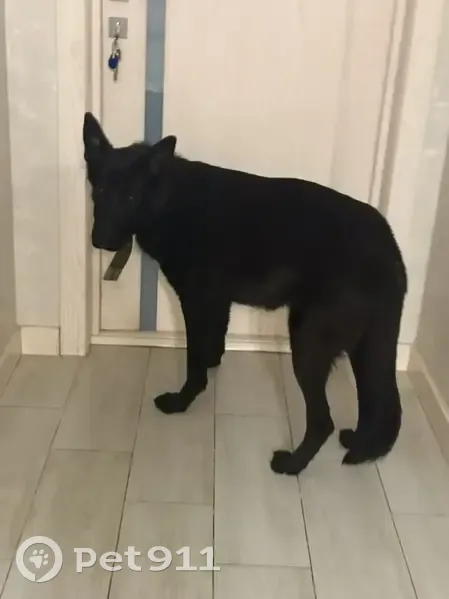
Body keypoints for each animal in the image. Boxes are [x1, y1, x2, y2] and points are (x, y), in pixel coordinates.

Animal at [83, 112, 407, 476]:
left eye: (129, 198)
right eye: (100, 190)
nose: (100, 241)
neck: (166, 198)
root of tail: (389, 249)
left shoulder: (196, 302)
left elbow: (193, 359)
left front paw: (183, 399)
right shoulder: (217, 302)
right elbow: (212, 344)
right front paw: (211, 366)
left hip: (308, 341)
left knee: (323, 421)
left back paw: (292, 464)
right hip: (365, 349)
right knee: (374, 403)